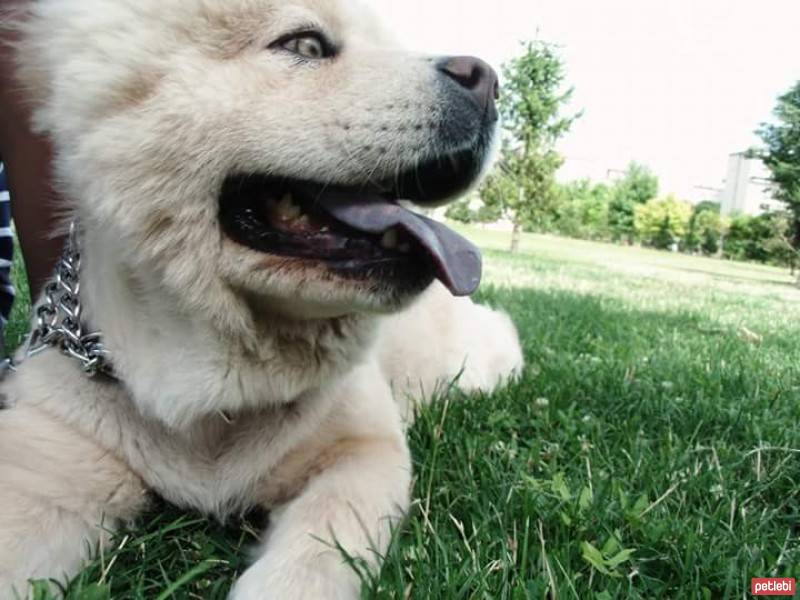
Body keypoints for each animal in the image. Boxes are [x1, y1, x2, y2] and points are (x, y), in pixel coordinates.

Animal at [0, 0, 520, 596]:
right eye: (306, 46)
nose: (488, 80)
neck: (218, 394)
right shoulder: (52, 456)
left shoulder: (362, 452)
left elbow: (310, 561)